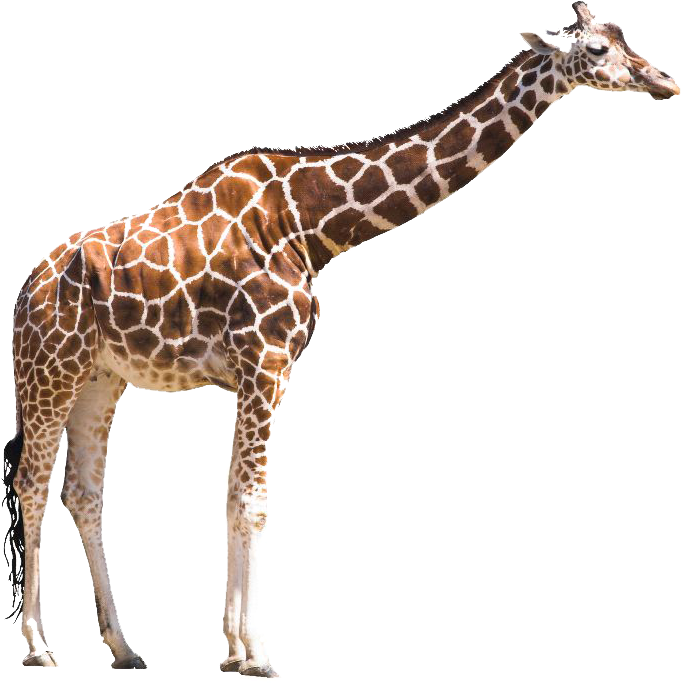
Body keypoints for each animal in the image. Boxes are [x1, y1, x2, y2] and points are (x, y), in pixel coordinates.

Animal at [3, 2, 677, 675]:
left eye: (623, 37)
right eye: (595, 50)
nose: (664, 82)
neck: (311, 221)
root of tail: (27, 291)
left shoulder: (262, 370)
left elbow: (237, 489)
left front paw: (232, 649)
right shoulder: (263, 360)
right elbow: (249, 496)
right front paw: (254, 656)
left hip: (100, 379)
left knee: (83, 491)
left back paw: (124, 648)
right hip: (49, 369)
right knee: (31, 482)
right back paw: (39, 646)